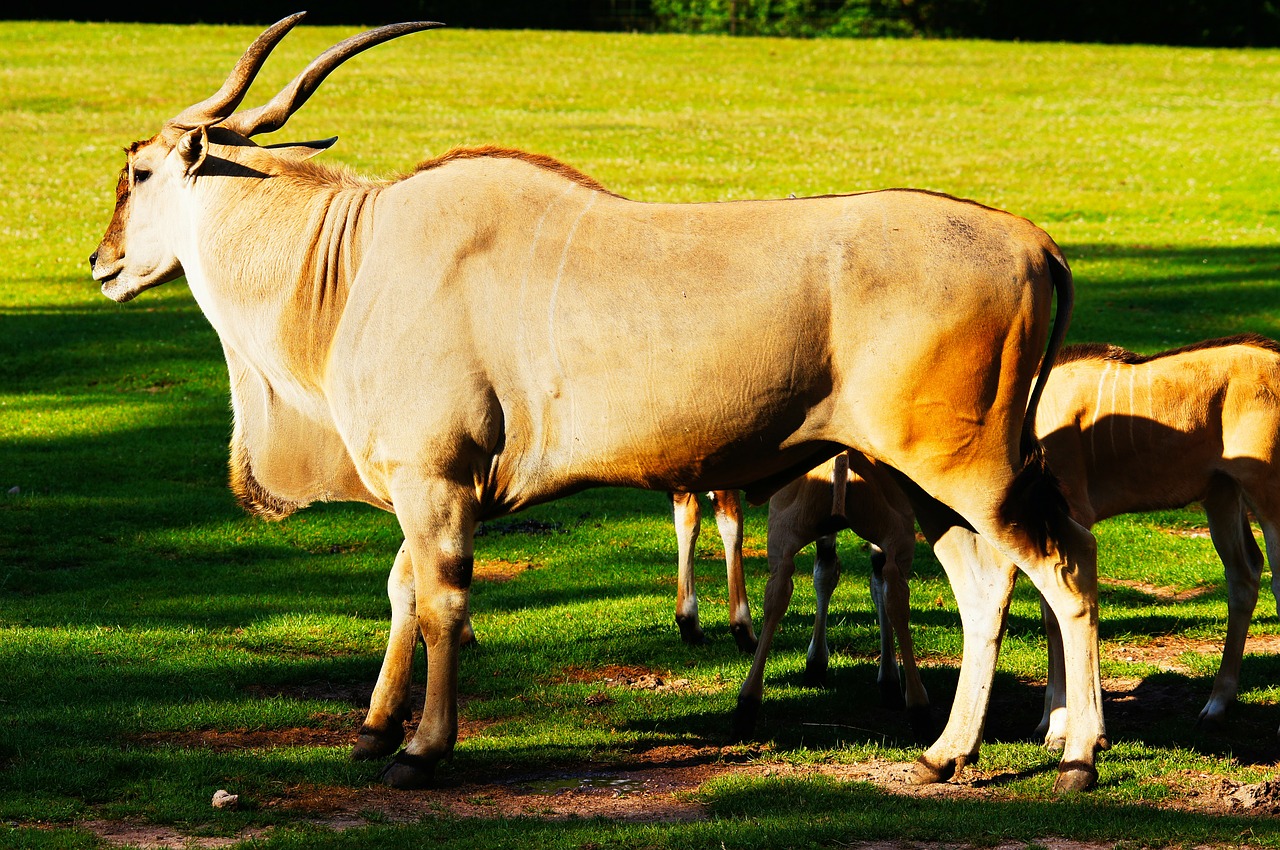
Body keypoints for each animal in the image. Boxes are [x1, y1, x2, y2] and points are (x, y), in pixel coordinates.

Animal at [90, 13, 1105, 793]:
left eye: (137, 173)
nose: (101, 264)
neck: (353, 257)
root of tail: (1031, 240)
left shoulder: (435, 479)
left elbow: (439, 601)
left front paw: (421, 750)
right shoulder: (428, 485)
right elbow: (401, 589)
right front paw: (374, 729)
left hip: (963, 468)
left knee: (1058, 571)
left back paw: (1078, 759)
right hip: (933, 483)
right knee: (990, 584)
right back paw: (944, 753)